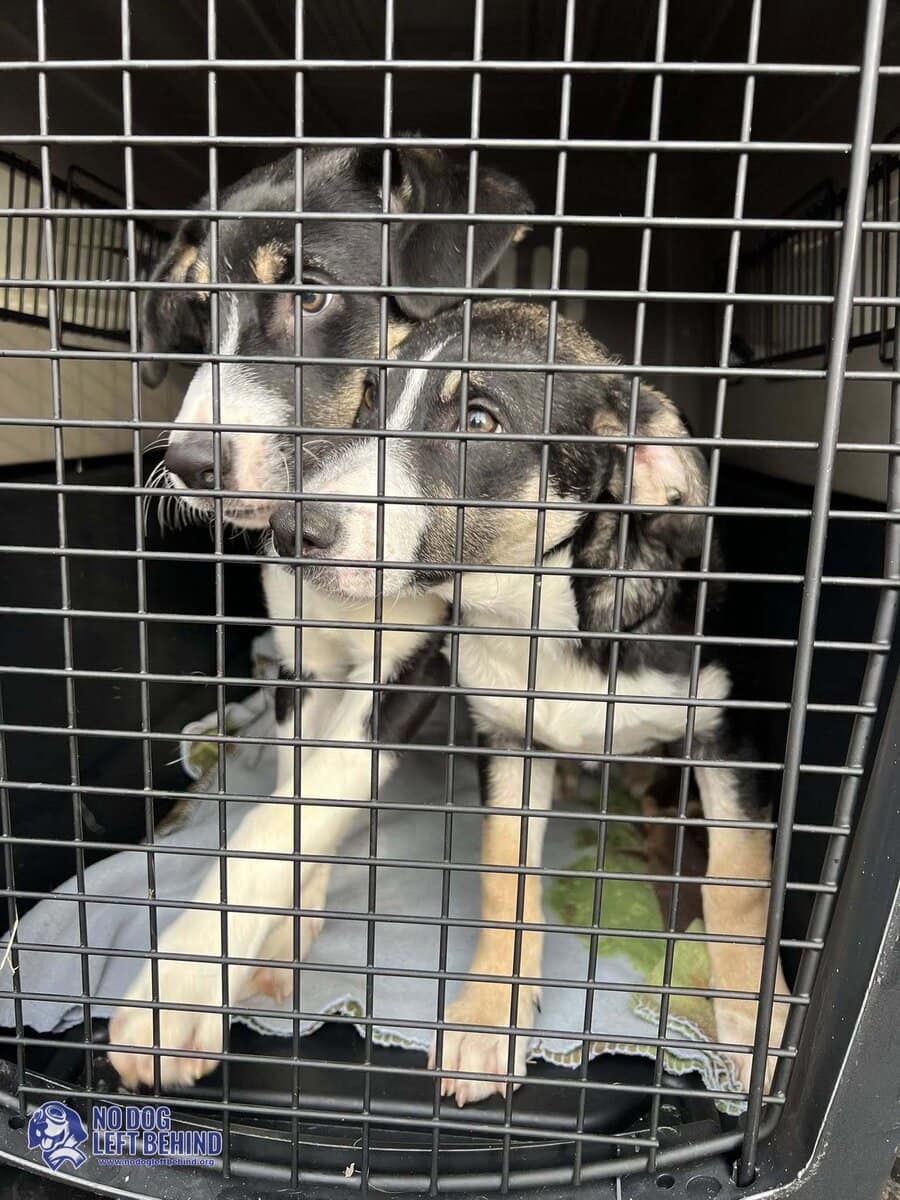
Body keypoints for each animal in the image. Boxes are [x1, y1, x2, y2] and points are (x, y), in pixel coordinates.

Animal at [107, 150, 532, 1089]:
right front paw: (274, 945)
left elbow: (281, 822)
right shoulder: (303, 666)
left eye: (311, 295)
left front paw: (181, 985)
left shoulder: (412, 668)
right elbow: (297, 802)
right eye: (200, 309)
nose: (187, 466)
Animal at [260, 300, 791, 1105]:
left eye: (479, 423)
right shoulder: (508, 738)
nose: (291, 531)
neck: (541, 614)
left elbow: (737, 883)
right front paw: (490, 1016)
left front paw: (753, 1018)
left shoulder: (723, 733)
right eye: (372, 399)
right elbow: (504, 870)